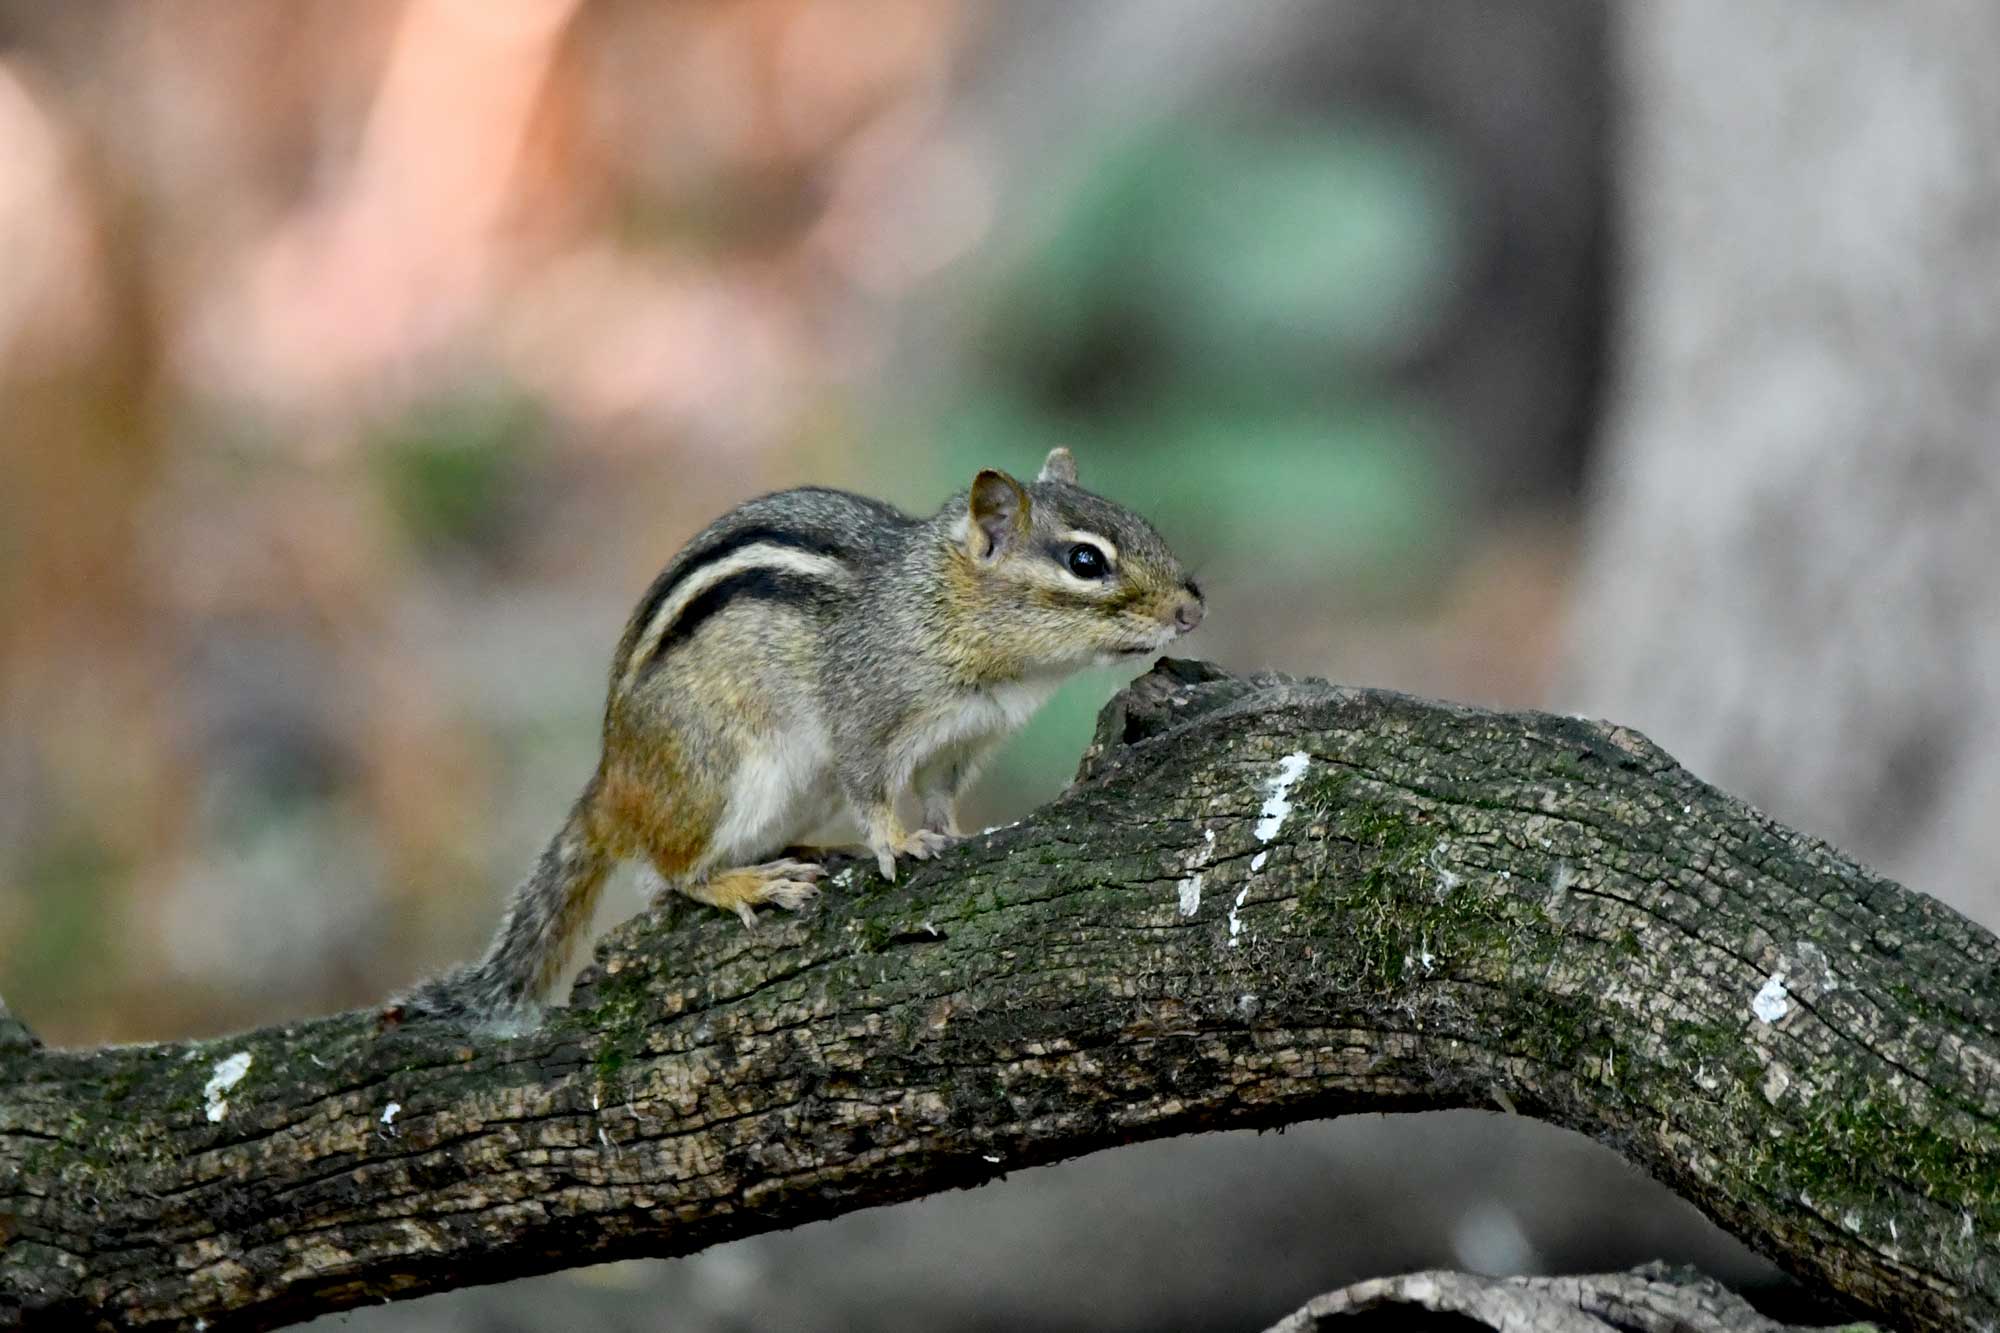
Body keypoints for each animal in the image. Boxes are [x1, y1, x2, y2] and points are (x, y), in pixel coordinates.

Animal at [394, 448, 1204, 1026]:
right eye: (1085, 561)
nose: (1192, 609)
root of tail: (610, 781)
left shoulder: (964, 742)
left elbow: (941, 793)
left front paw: (948, 830)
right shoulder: (868, 717)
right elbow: (874, 788)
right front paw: (898, 841)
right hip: (724, 775)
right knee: (671, 873)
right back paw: (749, 881)